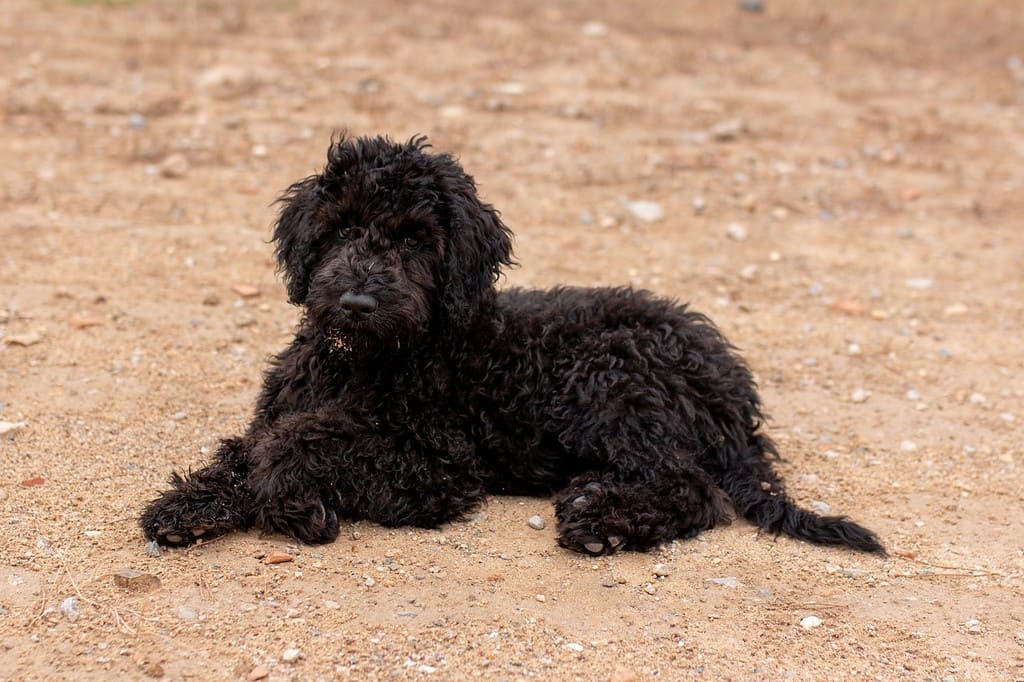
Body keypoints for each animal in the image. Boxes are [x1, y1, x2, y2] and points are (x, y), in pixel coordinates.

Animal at [140, 134, 884, 552]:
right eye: (342, 228)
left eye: (414, 239)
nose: (355, 302)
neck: (370, 359)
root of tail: (731, 390)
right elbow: (248, 444)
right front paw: (189, 505)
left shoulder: (434, 465)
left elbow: (294, 443)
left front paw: (295, 506)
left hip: (610, 381)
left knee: (694, 491)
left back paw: (603, 521)